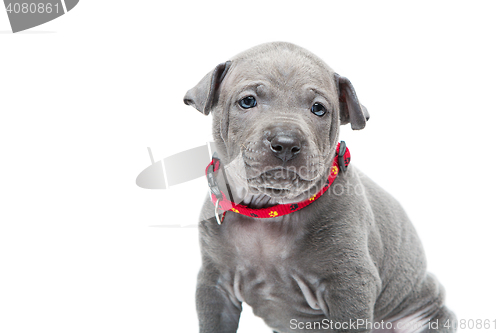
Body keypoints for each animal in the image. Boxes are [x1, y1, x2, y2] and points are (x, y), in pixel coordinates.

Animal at [184, 42, 458, 332]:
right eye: (247, 101)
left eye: (318, 109)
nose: (286, 143)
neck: (269, 212)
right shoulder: (215, 287)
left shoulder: (350, 287)